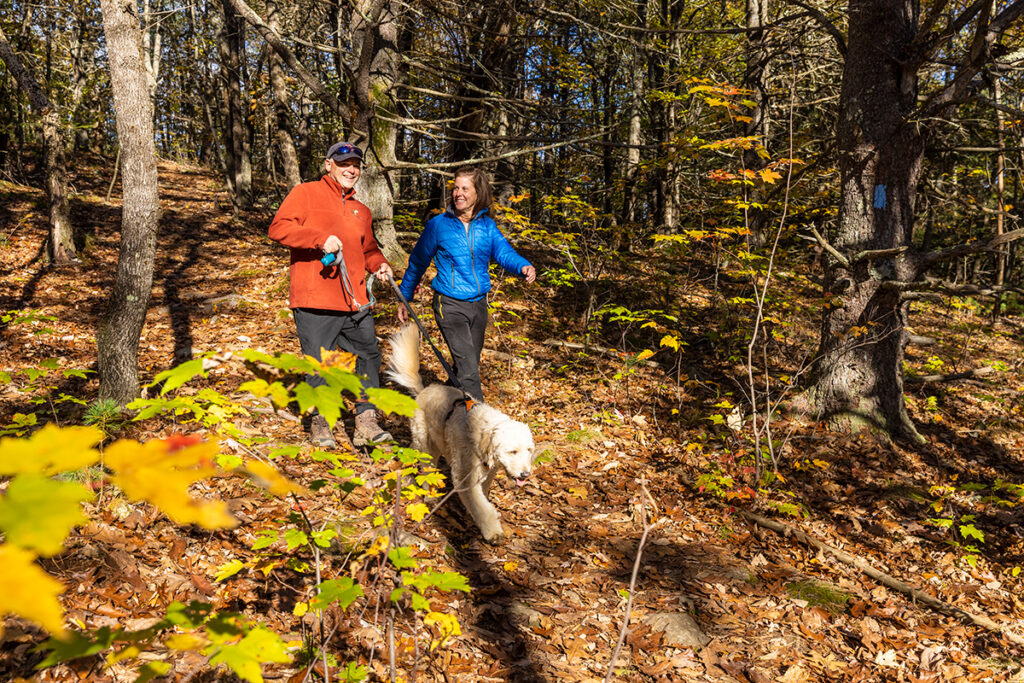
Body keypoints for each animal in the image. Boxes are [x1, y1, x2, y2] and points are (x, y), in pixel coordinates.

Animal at [385, 325, 536, 544]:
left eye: (529, 450)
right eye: (512, 451)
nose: (526, 474)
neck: (481, 435)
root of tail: (423, 391)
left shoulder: (487, 474)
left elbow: (483, 497)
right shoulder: (465, 478)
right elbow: (482, 508)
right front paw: (492, 531)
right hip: (427, 446)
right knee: (426, 468)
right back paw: (429, 494)